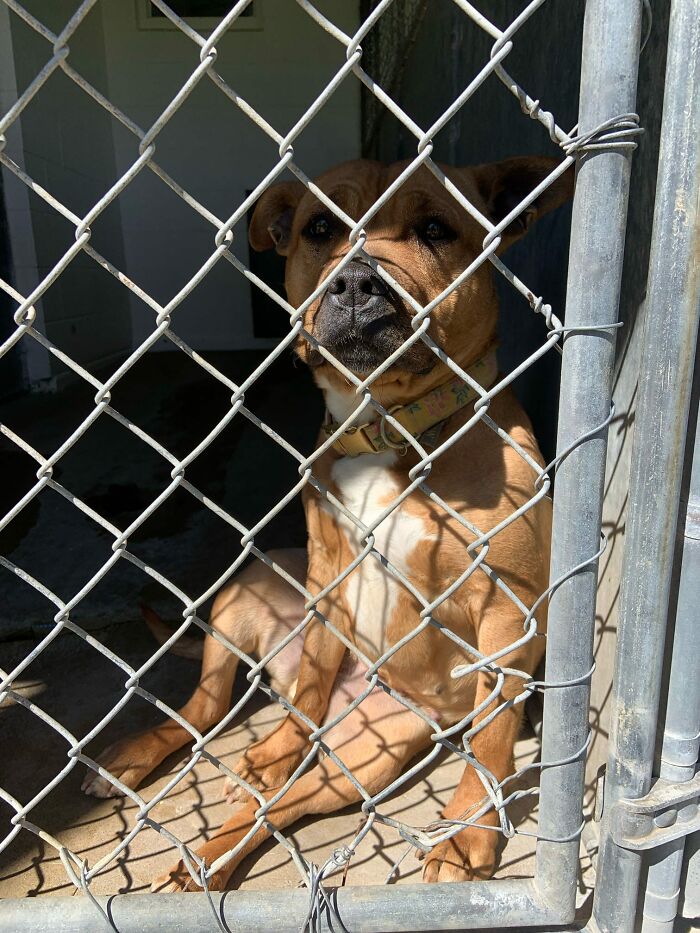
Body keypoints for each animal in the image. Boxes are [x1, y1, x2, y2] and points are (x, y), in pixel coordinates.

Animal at [83, 158, 576, 888]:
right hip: (239, 603)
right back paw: (175, 764)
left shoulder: (508, 610)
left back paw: (208, 859)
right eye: (320, 228)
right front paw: (283, 743)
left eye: (436, 229)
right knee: (213, 712)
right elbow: (316, 674)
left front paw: (468, 835)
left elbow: (490, 735)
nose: (356, 281)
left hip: (361, 761)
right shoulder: (327, 573)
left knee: (277, 803)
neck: (387, 424)